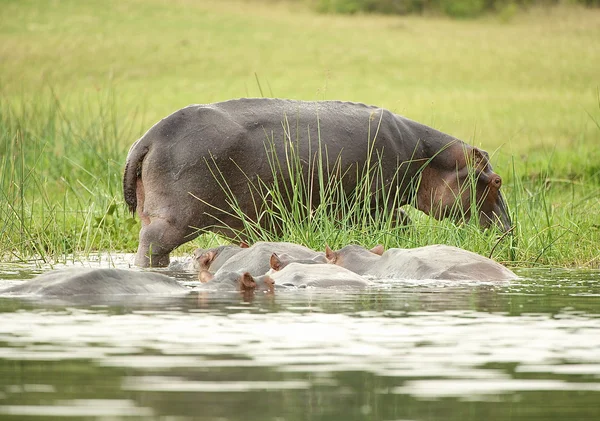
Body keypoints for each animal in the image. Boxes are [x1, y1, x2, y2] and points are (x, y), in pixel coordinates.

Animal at [123, 98, 510, 266]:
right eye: (497, 182)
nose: (510, 231)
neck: (432, 159)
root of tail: (147, 138)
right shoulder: (375, 204)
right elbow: (401, 223)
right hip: (174, 219)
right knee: (152, 246)